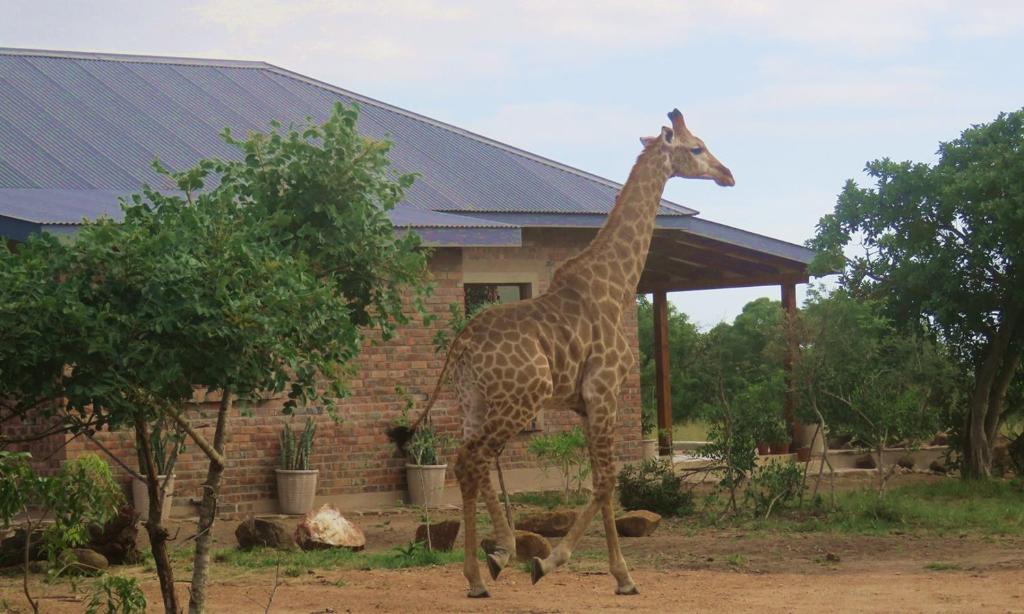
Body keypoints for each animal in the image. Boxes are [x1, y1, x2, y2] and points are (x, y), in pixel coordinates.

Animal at [387, 107, 733, 597]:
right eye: (697, 147)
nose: (727, 174)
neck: (616, 284)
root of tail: (462, 342)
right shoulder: (605, 392)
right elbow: (606, 480)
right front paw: (561, 565)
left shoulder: (585, 404)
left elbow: (602, 481)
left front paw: (618, 576)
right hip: (521, 398)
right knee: (474, 460)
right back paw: (488, 567)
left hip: (474, 401)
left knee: (466, 460)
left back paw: (486, 567)